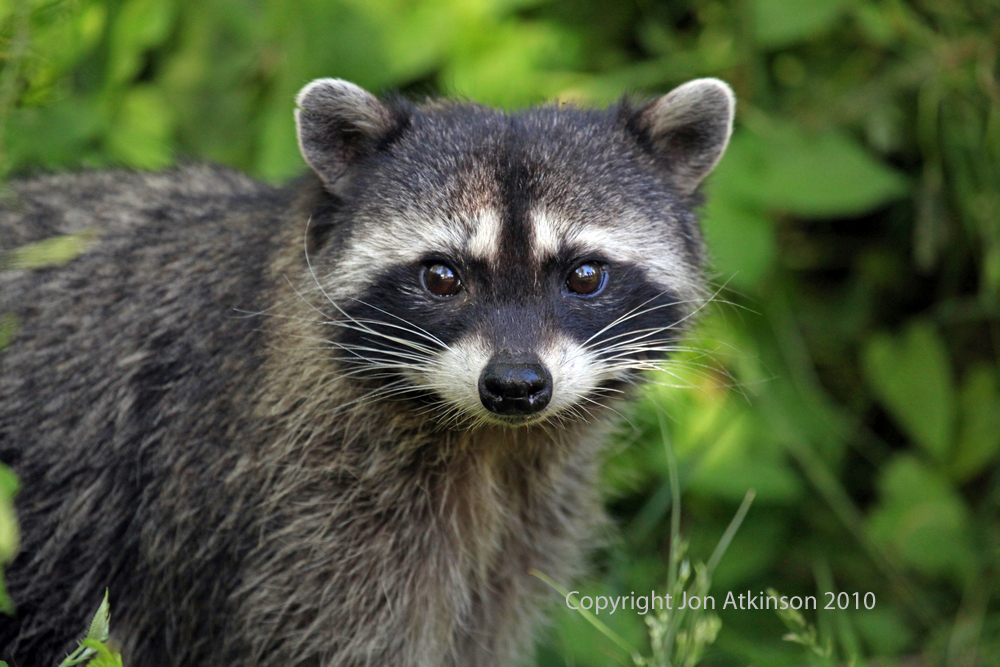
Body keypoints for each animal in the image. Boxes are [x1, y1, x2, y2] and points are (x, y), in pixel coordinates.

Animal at [0, 78, 734, 666]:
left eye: (583, 274)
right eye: (442, 276)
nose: (515, 385)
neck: (489, 443)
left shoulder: (524, 517)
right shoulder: (291, 509)